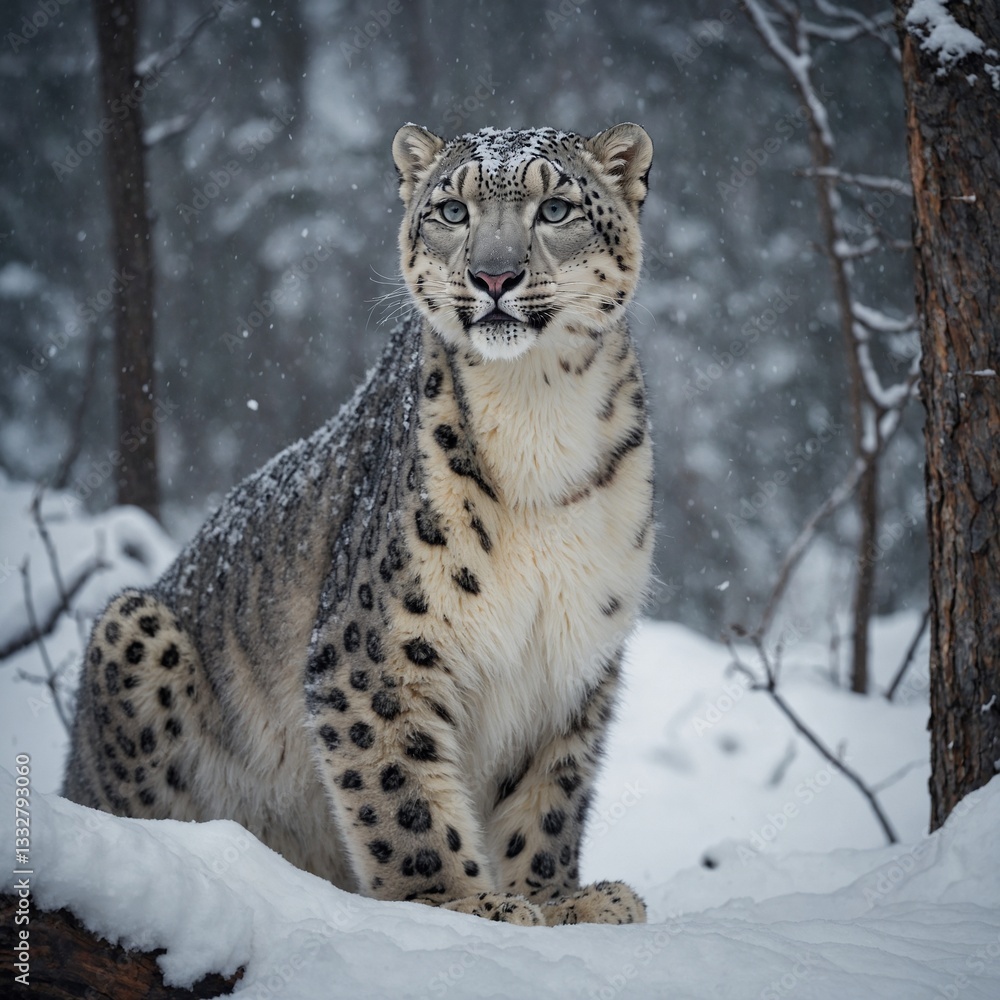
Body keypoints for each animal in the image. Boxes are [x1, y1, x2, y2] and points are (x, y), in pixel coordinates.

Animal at [63, 121, 656, 927]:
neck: (539, 416)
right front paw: (465, 904)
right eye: (452, 211)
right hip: (133, 627)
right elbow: (403, 795)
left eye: (556, 208)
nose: (493, 276)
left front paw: (563, 901)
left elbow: (550, 797)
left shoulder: (574, 661)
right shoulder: (378, 649)